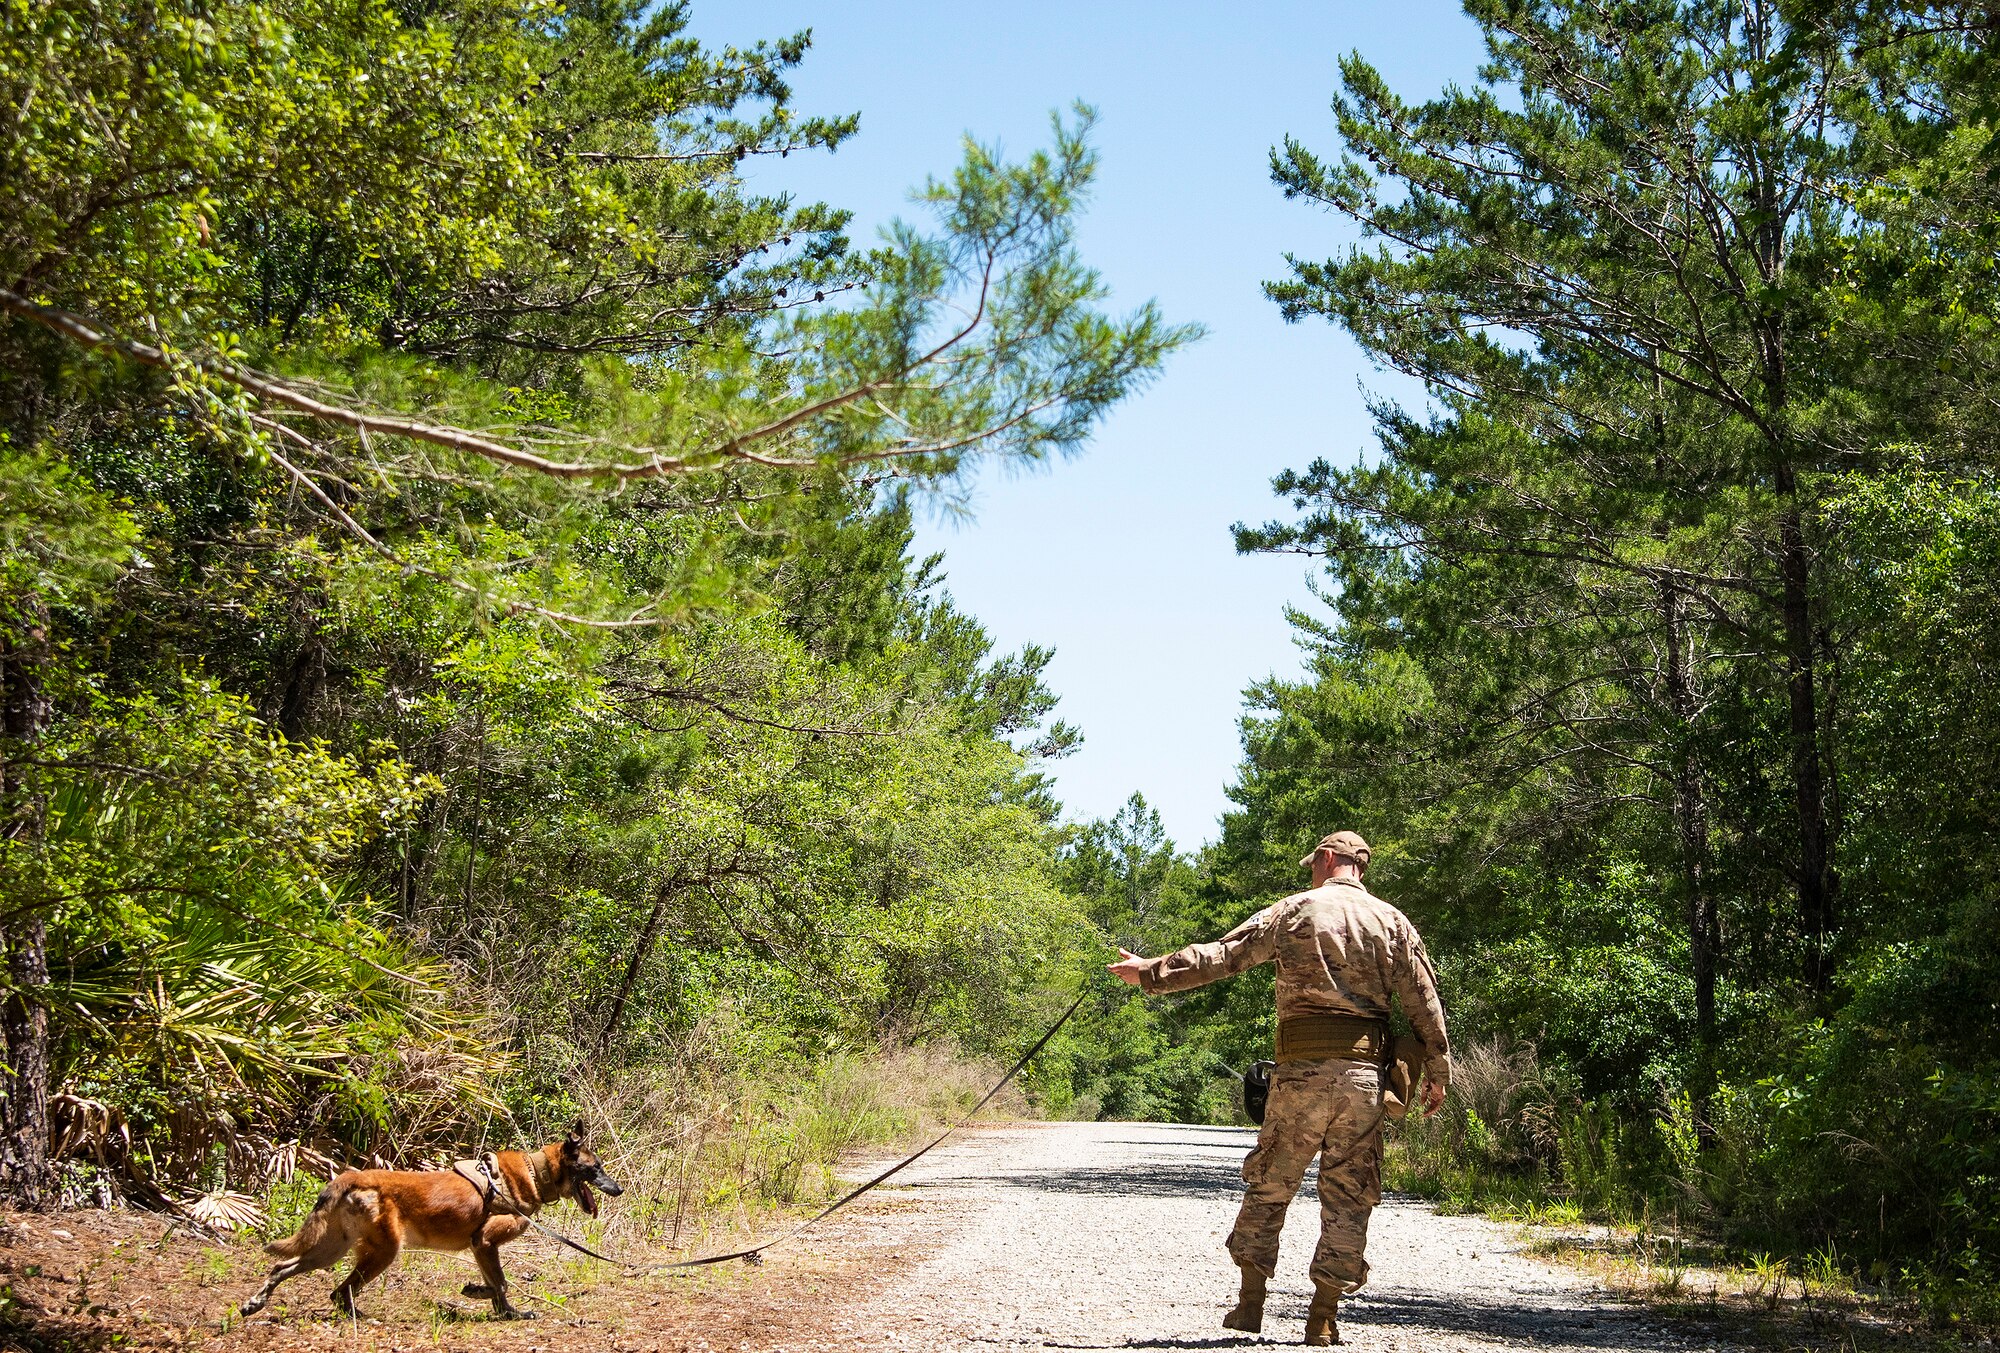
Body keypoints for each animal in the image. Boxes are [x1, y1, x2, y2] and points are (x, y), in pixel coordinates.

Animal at [239, 1120, 620, 1320]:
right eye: (595, 1168)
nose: (618, 1189)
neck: (535, 1173)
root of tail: (350, 1178)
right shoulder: (485, 1242)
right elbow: (501, 1283)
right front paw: (502, 1307)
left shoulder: (480, 1247)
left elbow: (496, 1285)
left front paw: (497, 1307)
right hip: (384, 1251)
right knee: (339, 1291)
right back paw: (362, 1318)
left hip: (333, 1249)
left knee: (285, 1268)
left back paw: (256, 1302)